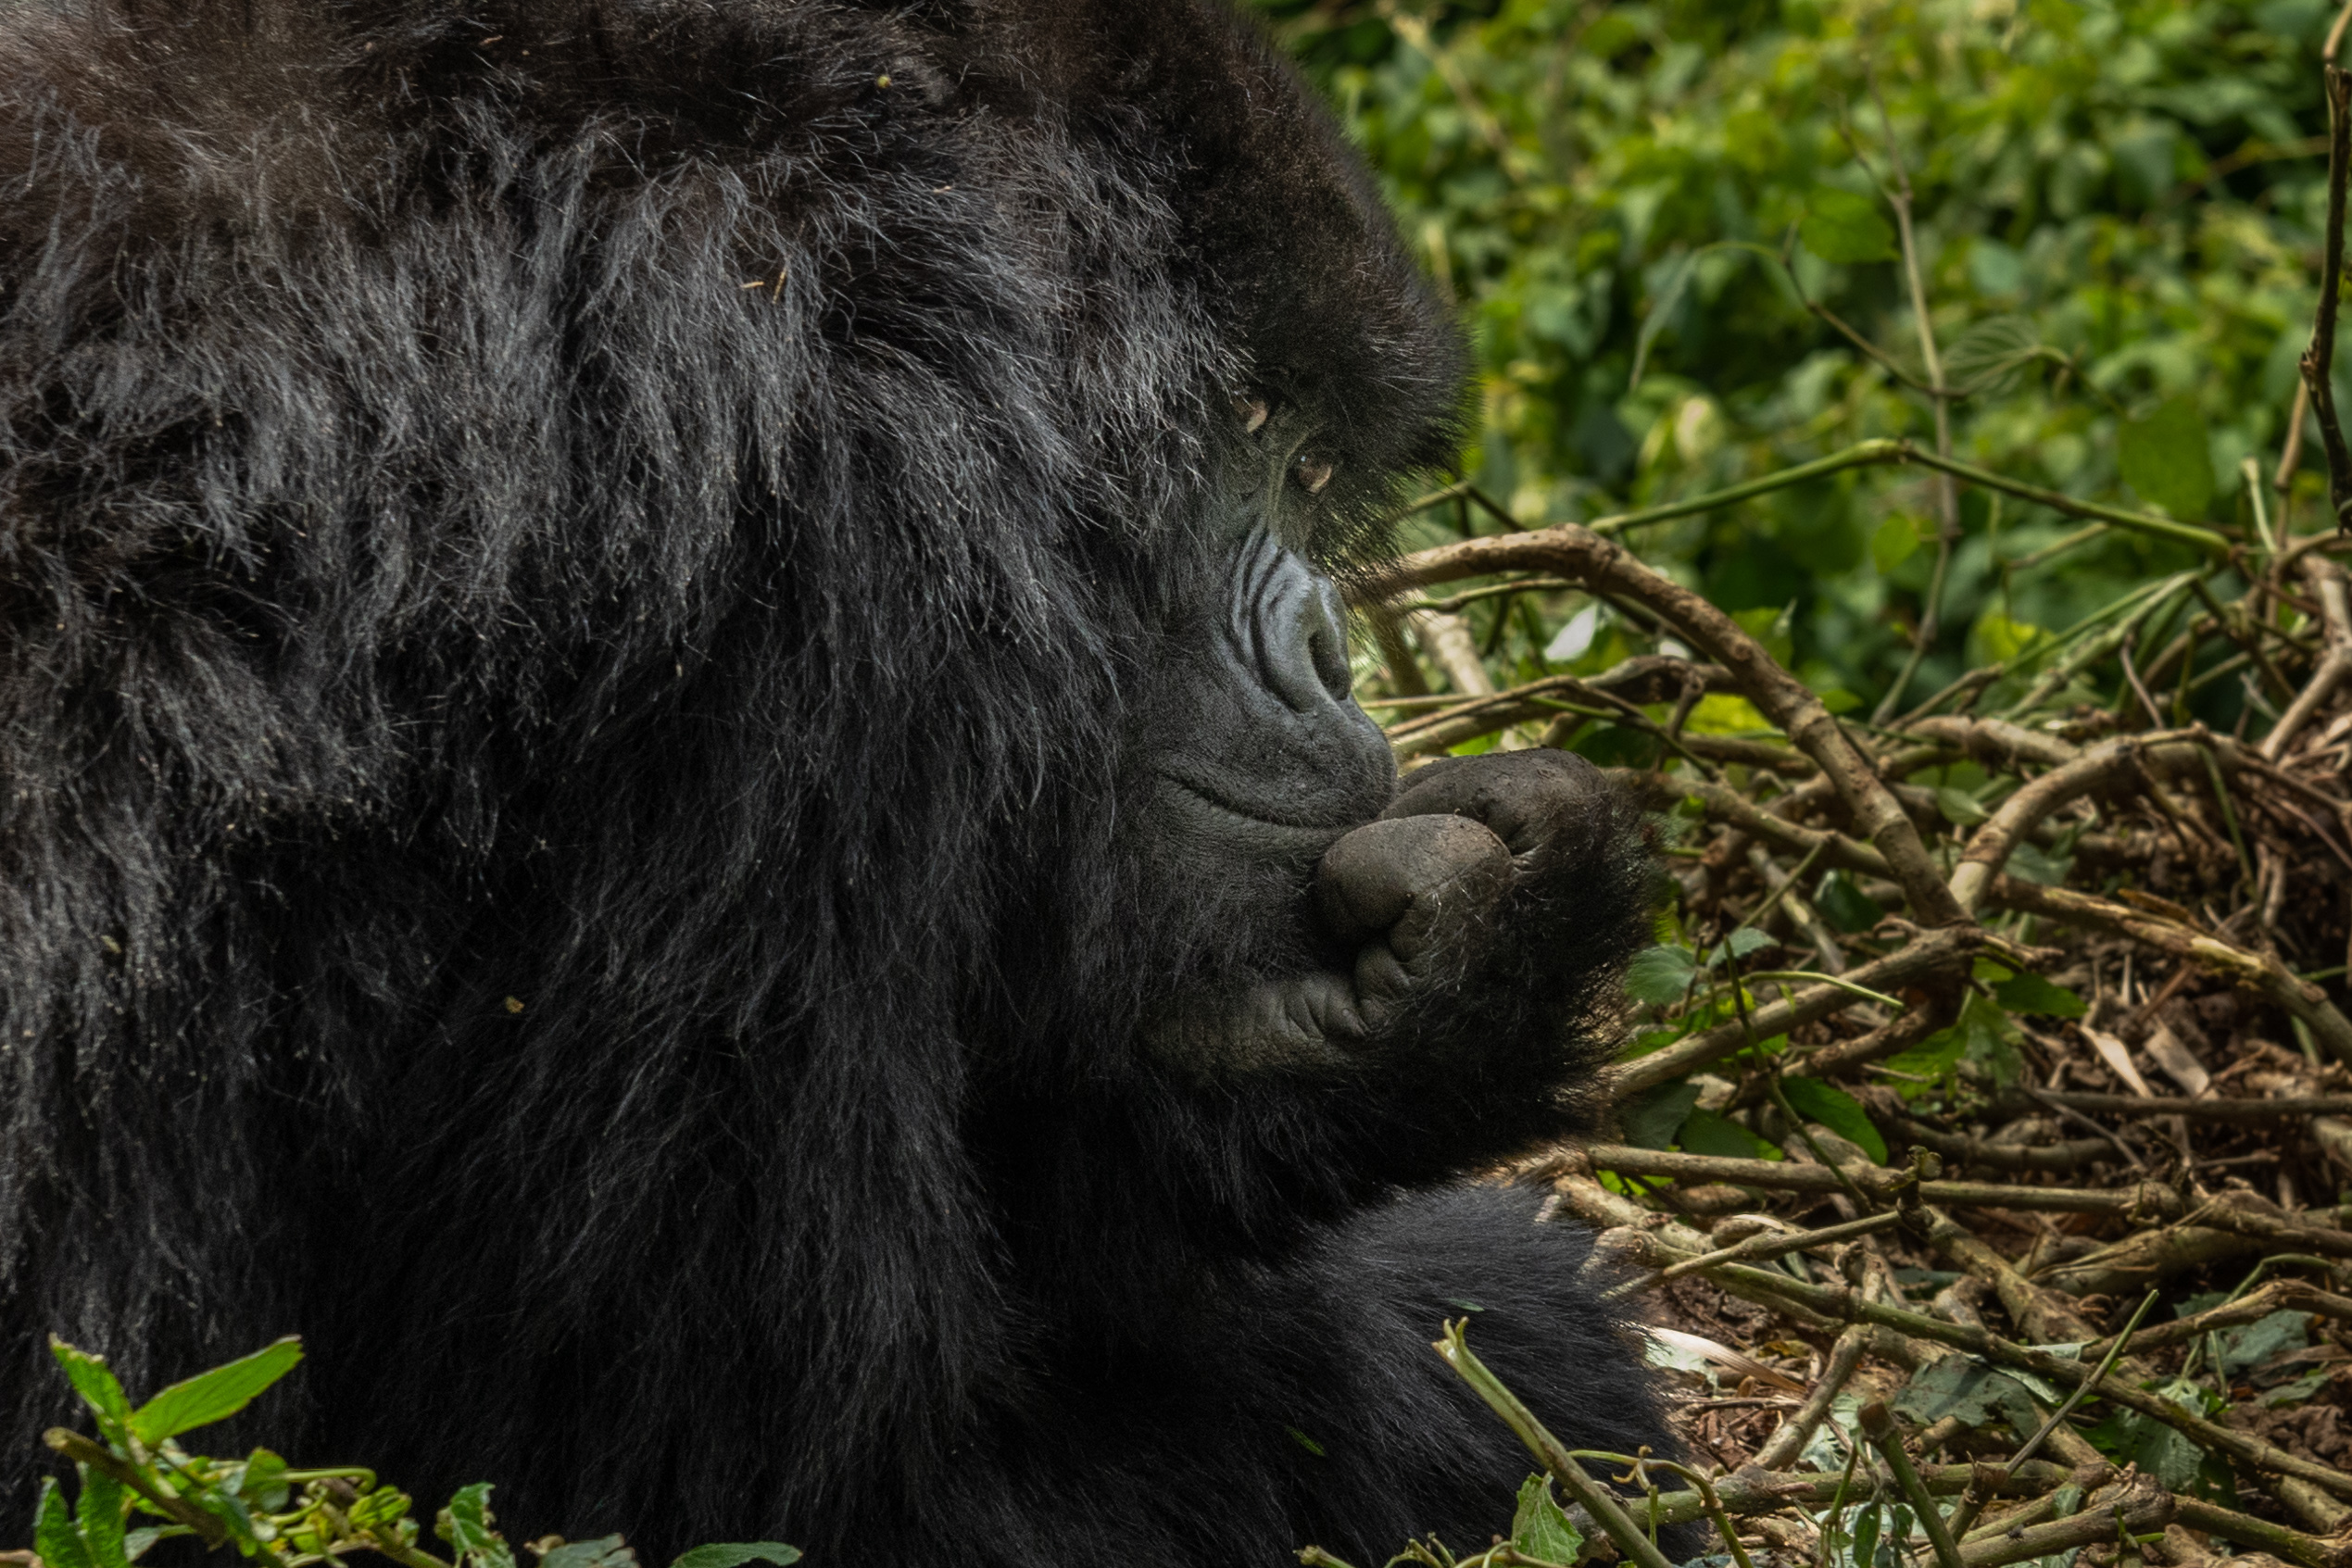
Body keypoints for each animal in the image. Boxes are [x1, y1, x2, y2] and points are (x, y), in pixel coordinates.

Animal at [8, 0, 1683, 1561]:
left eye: (1315, 471)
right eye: (1256, 425)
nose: (1331, 656)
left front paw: (1435, 979)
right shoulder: (810, 583)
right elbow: (712, 1466)